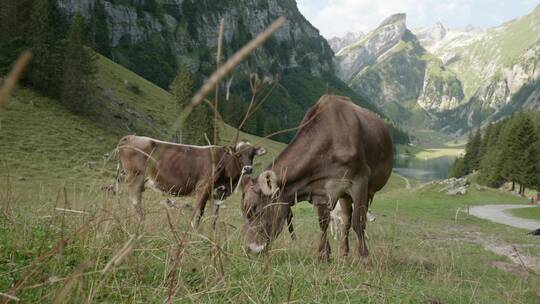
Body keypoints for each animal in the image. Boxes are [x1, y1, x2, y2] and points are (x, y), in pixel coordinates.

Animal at [118, 136, 266, 228]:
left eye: (252, 154)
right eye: (238, 154)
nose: (248, 168)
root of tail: (131, 137)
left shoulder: (218, 193)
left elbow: (214, 217)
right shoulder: (203, 188)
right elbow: (198, 213)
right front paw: (194, 231)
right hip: (136, 177)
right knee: (136, 202)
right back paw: (141, 223)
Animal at [240, 95, 392, 262]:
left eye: (256, 210)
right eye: (244, 212)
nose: (249, 250)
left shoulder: (360, 180)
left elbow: (359, 222)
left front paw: (364, 257)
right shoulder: (320, 190)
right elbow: (323, 223)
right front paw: (323, 255)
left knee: (353, 221)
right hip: (344, 195)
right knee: (345, 221)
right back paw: (343, 254)